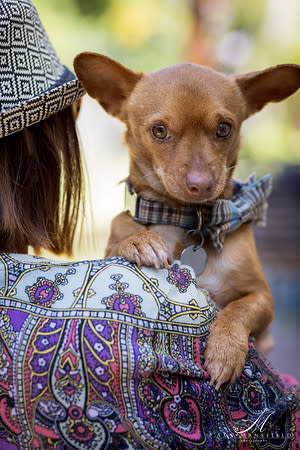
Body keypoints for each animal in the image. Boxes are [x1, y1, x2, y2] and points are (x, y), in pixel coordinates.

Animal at [74, 53, 300, 390]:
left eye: (224, 128)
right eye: (159, 131)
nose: (200, 183)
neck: (187, 218)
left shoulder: (263, 302)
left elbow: (237, 309)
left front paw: (225, 350)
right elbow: (122, 230)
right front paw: (140, 241)